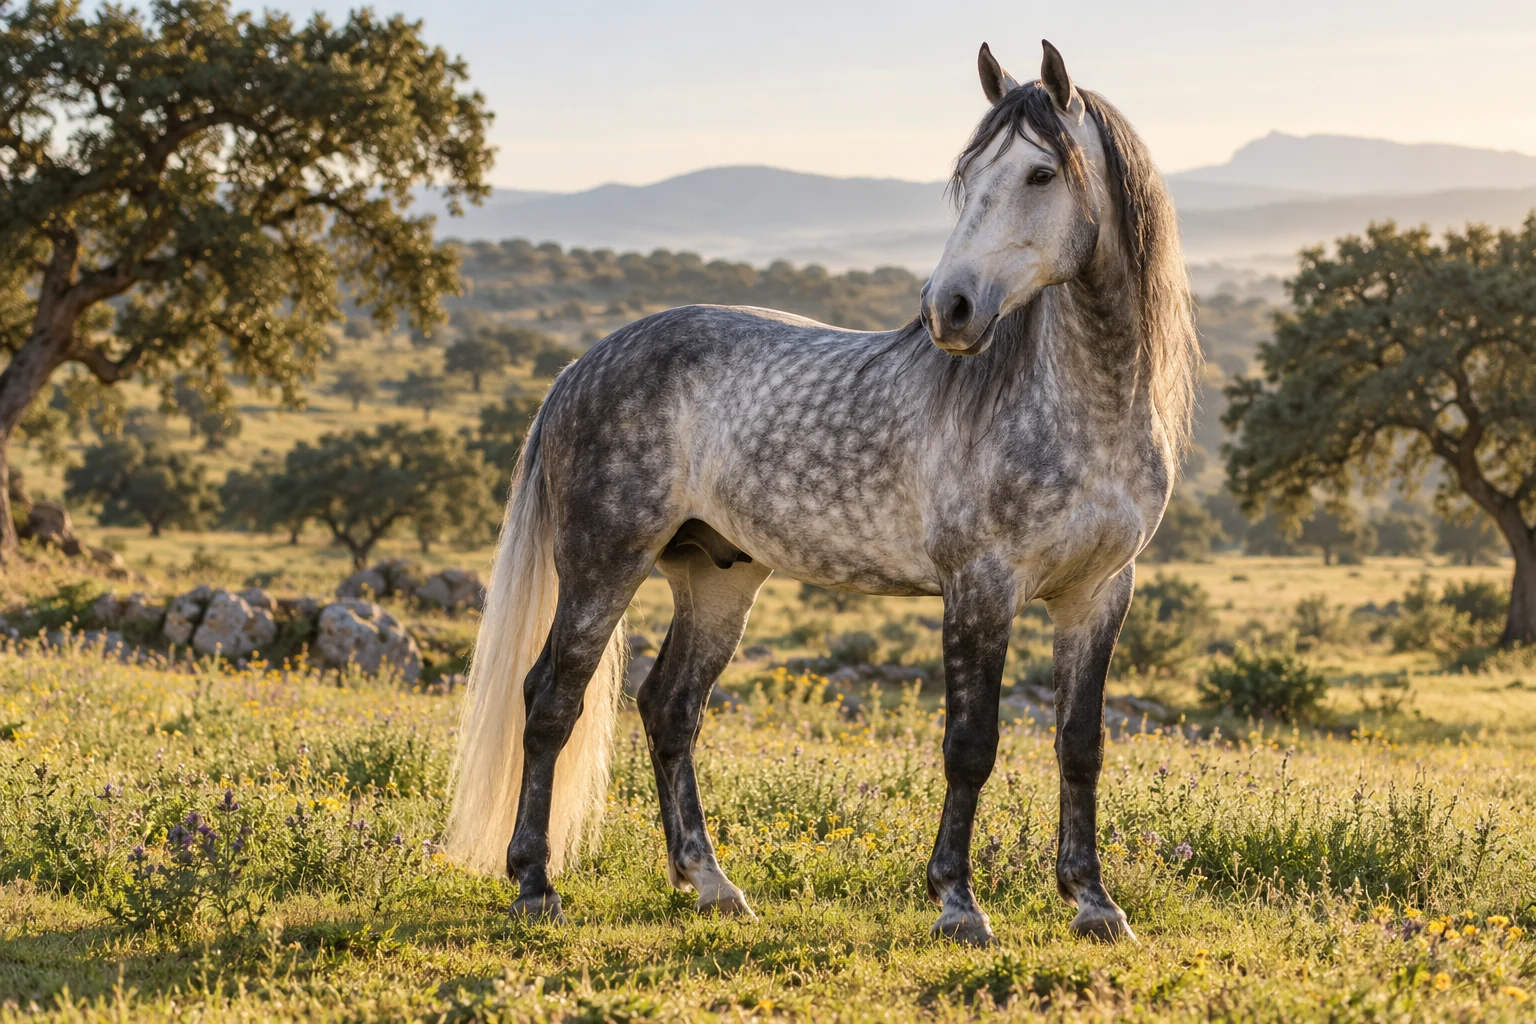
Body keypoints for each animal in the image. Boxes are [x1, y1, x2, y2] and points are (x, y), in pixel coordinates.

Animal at [444, 39, 1198, 946]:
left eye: (1041, 174)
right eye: (967, 173)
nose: (949, 310)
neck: (1079, 406)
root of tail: (581, 365)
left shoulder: (1099, 593)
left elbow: (1080, 746)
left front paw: (1094, 903)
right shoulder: (980, 588)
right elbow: (970, 746)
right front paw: (958, 904)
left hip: (717, 578)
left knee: (670, 707)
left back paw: (711, 885)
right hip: (602, 563)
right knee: (553, 698)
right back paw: (534, 884)